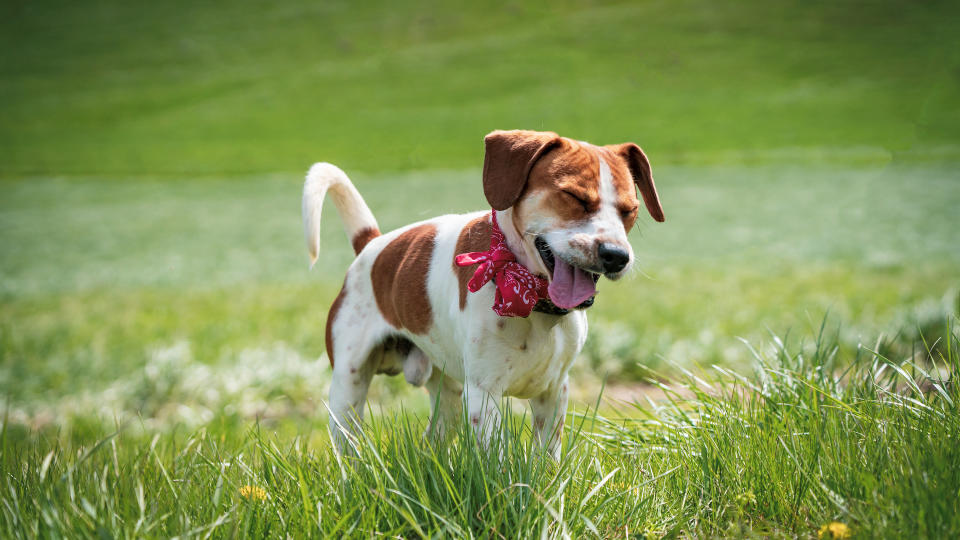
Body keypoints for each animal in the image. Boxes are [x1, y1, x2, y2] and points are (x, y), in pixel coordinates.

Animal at [304, 131, 664, 456]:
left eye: (629, 210)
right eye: (575, 197)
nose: (616, 255)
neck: (531, 298)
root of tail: (373, 244)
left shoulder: (554, 391)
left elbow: (547, 461)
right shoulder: (483, 395)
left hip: (447, 398)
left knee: (431, 442)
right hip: (348, 388)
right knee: (348, 445)